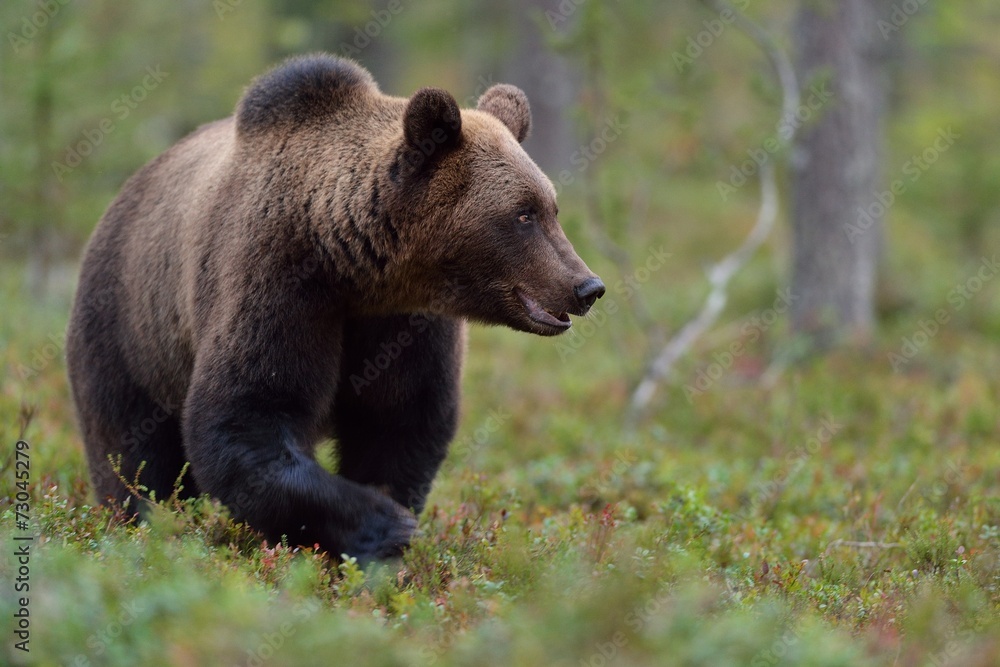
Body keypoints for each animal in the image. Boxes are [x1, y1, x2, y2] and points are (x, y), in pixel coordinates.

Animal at [68, 54, 608, 560]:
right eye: (523, 214)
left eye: (551, 207)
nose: (587, 286)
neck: (355, 269)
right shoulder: (278, 282)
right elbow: (246, 418)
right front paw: (384, 525)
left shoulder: (403, 324)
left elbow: (401, 423)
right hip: (130, 333)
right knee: (131, 452)